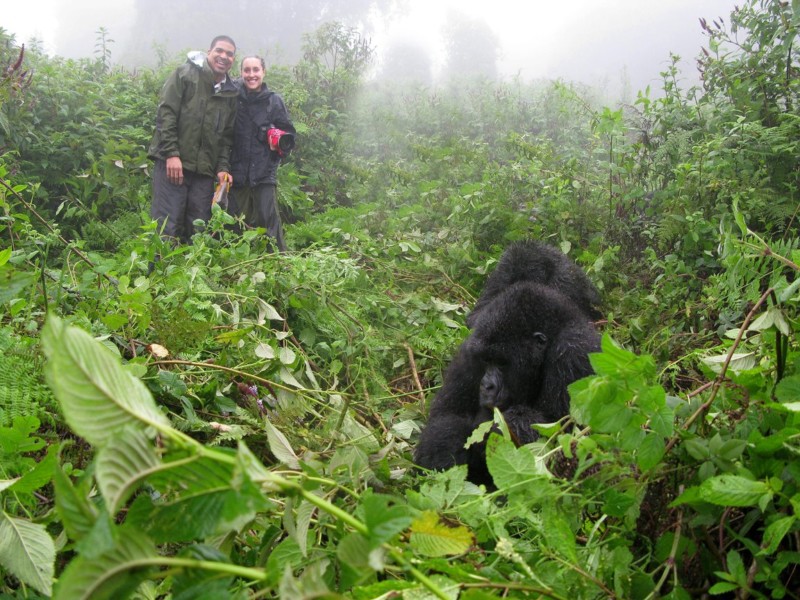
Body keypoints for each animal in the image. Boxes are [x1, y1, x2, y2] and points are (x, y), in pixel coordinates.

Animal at [418, 244, 600, 488]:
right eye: (486, 361)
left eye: (502, 363)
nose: (486, 386)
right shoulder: (470, 347)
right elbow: (446, 416)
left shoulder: (574, 352)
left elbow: (569, 440)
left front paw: (508, 426)